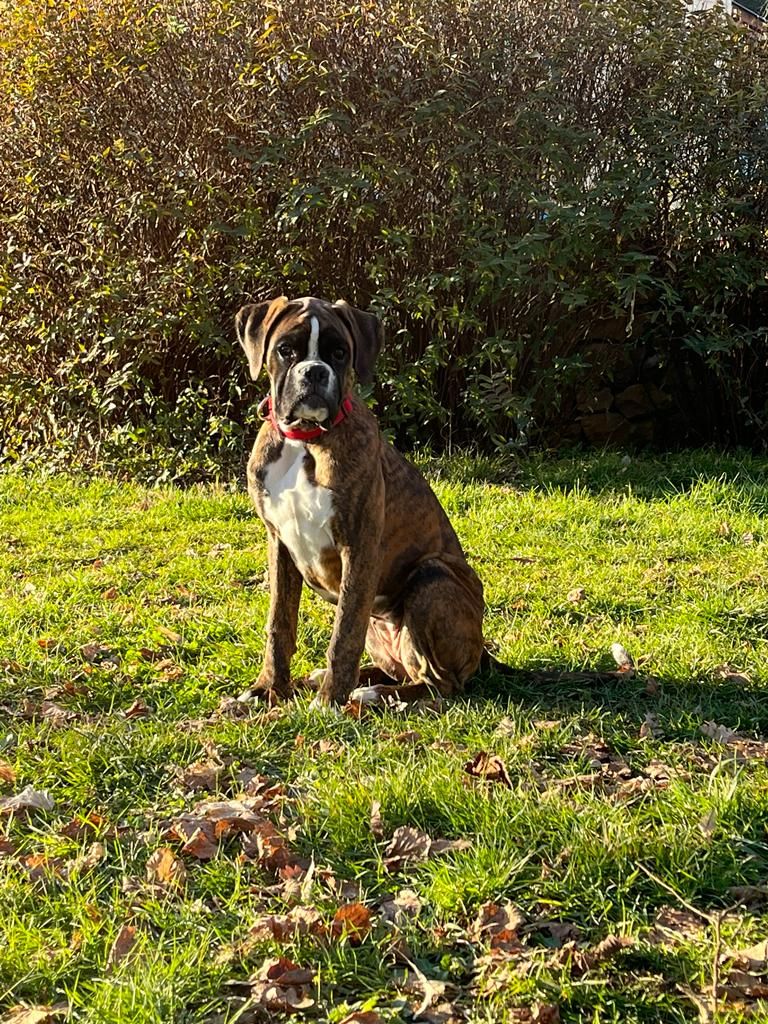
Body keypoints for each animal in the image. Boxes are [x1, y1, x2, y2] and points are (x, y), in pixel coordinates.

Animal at [237, 296, 483, 708]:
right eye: (285, 350)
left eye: (339, 353)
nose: (314, 372)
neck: (304, 442)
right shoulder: (279, 543)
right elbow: (279, 624)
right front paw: (269, 688)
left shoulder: (359, 545)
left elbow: (344, 634)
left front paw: (329, 701)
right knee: (403, 669)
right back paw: (340, 681)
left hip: (432, 575)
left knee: (441, 686)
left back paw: (369, 694)